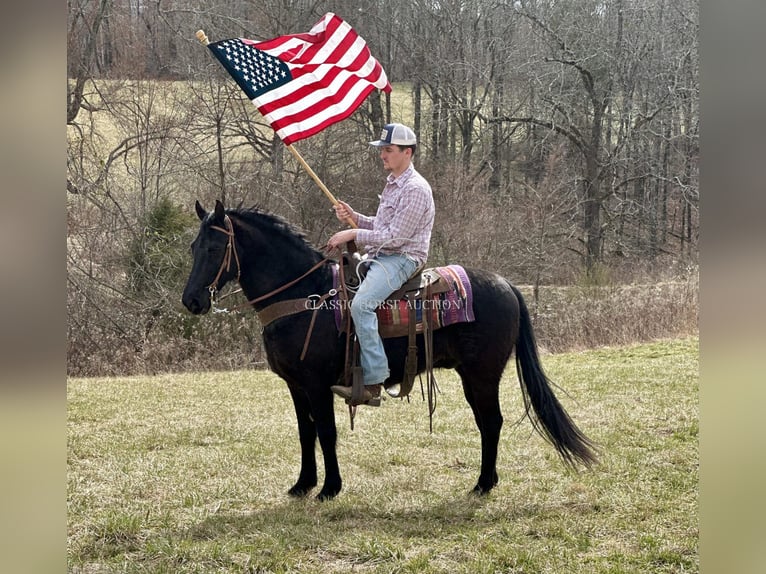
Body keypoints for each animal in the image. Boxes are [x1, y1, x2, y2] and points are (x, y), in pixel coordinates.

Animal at [183, 201, 596, 500]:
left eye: (216, 247)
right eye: (193, 247)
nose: (192, 301)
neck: (305, 296)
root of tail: (507, 285)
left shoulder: (317, 384)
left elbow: (327, 432)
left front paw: (330, 488)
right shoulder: (296, 385)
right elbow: (306, 432)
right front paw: (302, 485)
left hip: (482, 375)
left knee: (491, 422)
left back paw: (482, 484)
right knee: (487, 423)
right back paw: (486, 482)